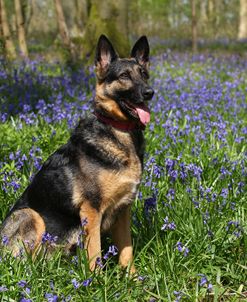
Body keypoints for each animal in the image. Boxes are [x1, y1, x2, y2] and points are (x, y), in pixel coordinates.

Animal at [0, 34, 153, 272]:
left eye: (144, 74)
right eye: (124, 76)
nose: (149, 92)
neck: (118, 130)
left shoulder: (123, 210)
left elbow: (127, 251)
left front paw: (133, 278)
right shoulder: (91, 211)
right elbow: (95, 253)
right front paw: (97, 279)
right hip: (31, 215)